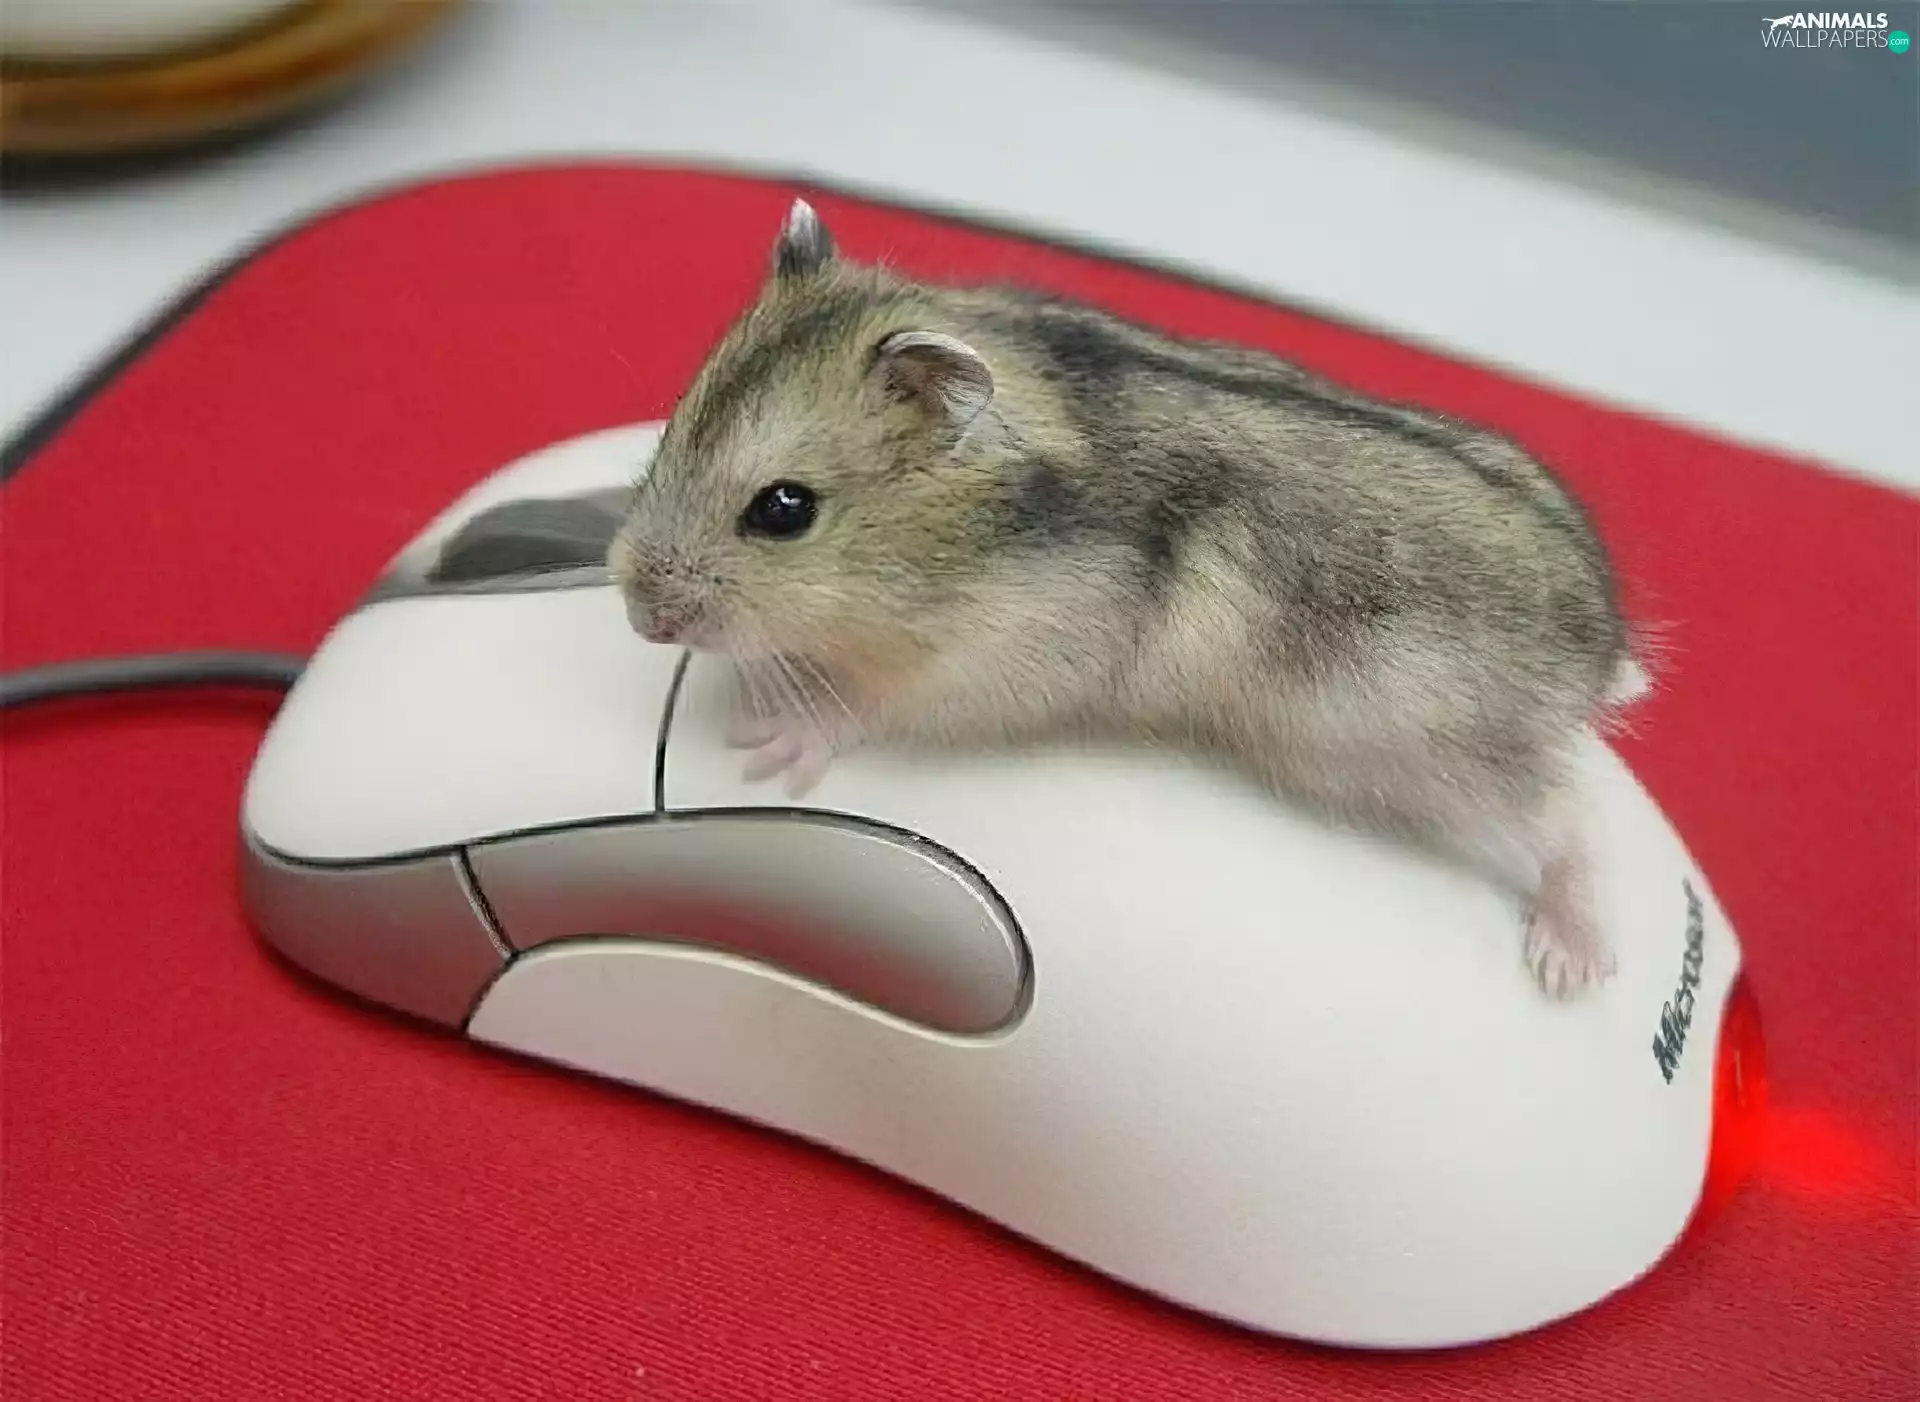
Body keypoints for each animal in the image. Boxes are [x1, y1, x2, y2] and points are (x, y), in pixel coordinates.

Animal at [609, 200, 1644, 999]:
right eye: (676, 419)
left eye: (784, 510)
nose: (641, 619)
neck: (960, 531)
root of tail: (1603, 647)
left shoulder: (1007, 658)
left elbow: (868, 704)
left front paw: (767, 739)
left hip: (1430, 754)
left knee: (1576, 820)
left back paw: (1572, 964)